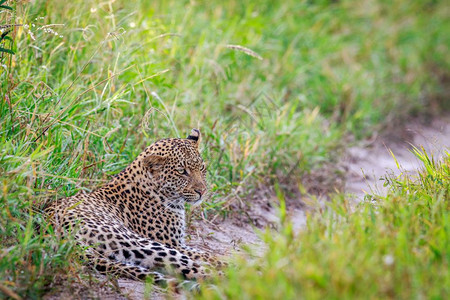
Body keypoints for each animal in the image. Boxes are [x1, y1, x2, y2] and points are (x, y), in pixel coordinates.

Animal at [44, 128, 224, 284]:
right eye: (181, 171)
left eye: (202, 168)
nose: (202, 191)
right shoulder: (174, 243)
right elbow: (205, 255)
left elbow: (204, 254)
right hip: (139, 242)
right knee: (196, 269)